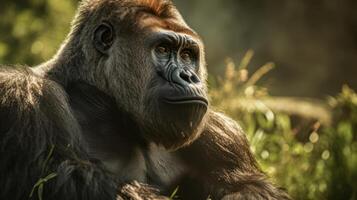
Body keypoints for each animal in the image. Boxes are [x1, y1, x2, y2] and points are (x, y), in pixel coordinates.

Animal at [0, 0, 290, 200]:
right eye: (162, 49)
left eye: (187, 55)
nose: (189, 77)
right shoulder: (24, 95)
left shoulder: (222, 133)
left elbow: (250, 187)